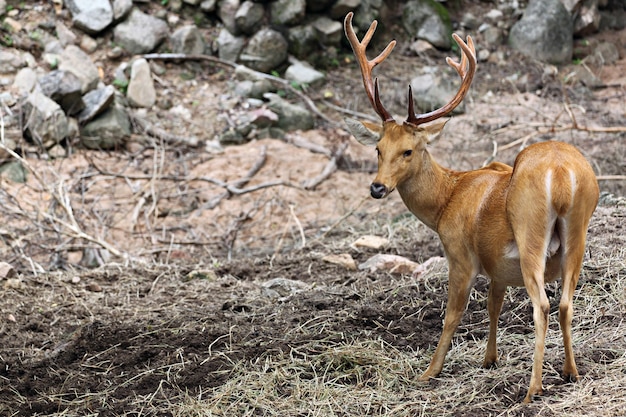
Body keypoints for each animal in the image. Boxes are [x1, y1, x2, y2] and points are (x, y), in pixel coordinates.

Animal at [342, 13, 600, 402]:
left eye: (409, 150)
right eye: (377, 148)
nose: (377, 187)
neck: (447, 199)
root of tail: (560, 174)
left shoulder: (460, 253)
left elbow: (453, 314)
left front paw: (429, 372)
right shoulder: (497, 266)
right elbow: (494, 305)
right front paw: (489, 359)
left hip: (530, 230)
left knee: (542, 305)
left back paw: (533, 389)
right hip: (577, 233)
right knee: (566, 303)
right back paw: (571, 372)